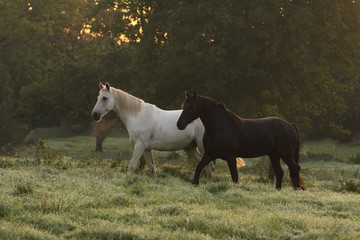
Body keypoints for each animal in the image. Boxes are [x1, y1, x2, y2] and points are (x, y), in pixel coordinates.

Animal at [176, 91, 306, 190]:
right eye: (184, 106)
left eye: (191, 107)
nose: (179, 124)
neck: (221, 126)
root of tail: (290, 125)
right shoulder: (210, 154)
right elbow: (199, 166)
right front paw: (195, 184)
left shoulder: (230, 157)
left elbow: (235, 176)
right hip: (274, 155)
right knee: (280, 172)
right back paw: (278, 189)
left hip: (286, 155)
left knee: (295, 168)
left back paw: (297, 188)